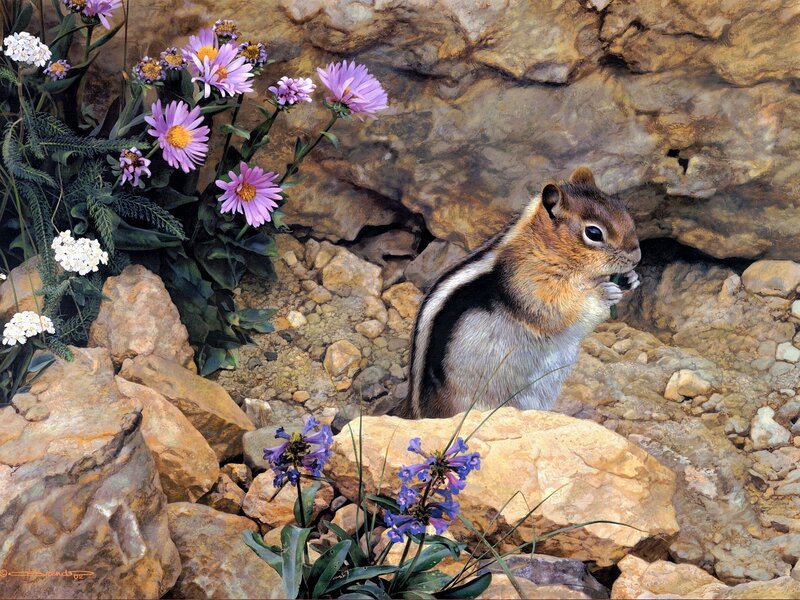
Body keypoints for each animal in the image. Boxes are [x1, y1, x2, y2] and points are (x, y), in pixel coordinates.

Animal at [396, 167, 641, 419]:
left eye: (624, 211)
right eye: (593, 233)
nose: (637, 257)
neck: (542, 248)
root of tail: (417, 411)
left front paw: (630, 279)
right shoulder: (529, 286)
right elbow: (559, 312)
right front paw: (604, 293)